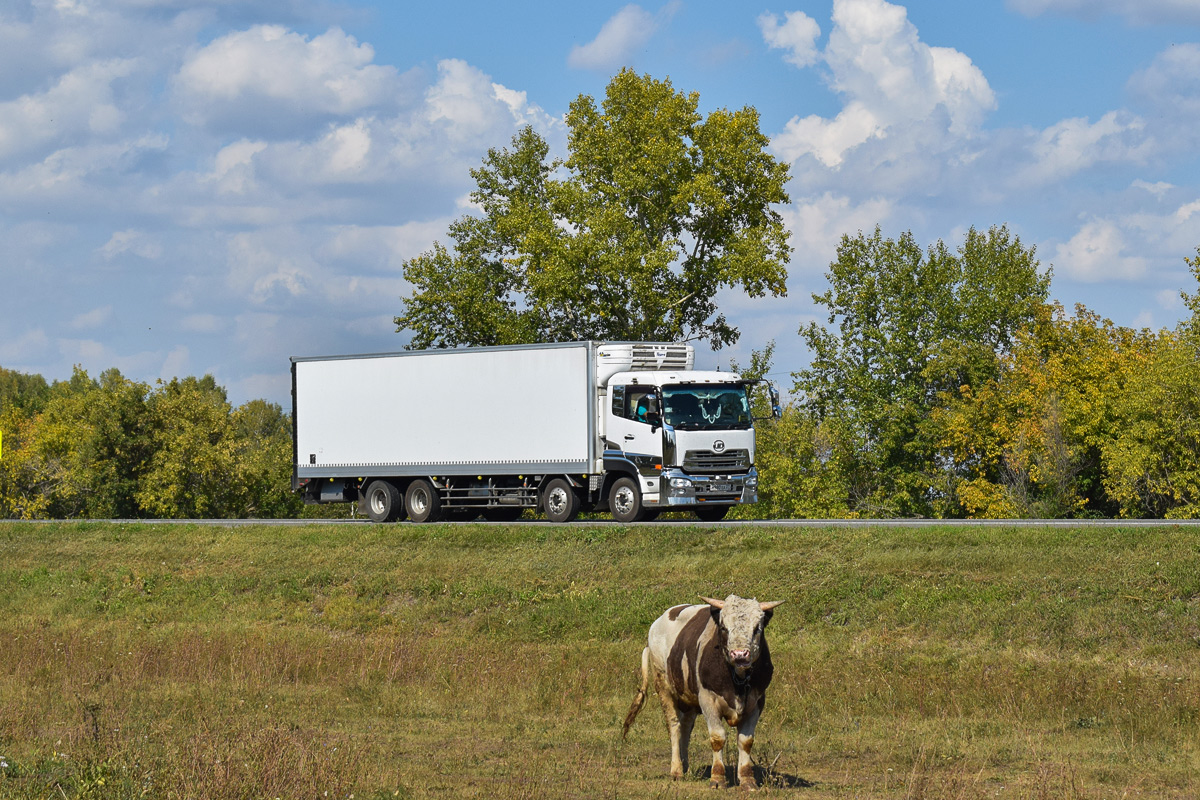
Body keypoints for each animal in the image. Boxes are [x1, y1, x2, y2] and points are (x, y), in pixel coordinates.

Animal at [624, 594, 782, 786]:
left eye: (757, 628)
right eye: (724, 627)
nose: (740, 654)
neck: (737, 679)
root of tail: (657, 623)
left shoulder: (757, 702)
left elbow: (746, 741)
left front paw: (747, 779)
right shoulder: (707, 700)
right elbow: (717, 738)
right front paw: (718, 777)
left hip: (689, 699)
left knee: (686, 727)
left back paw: (685, 765)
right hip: (664, 687)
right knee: (674, 726)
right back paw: (676, 770)